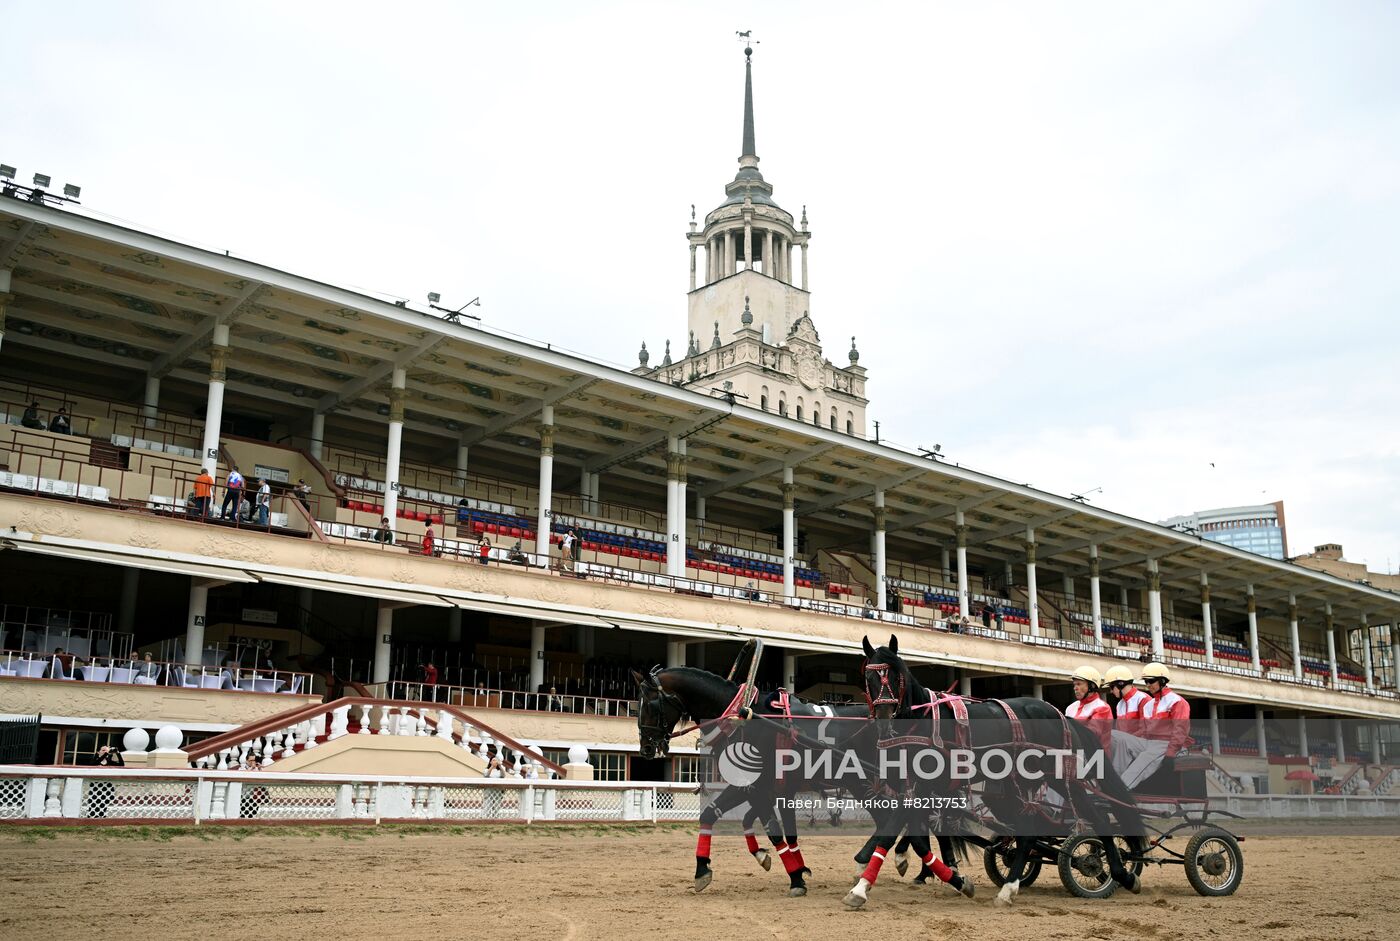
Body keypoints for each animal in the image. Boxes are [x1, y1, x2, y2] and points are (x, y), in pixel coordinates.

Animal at [845, 635, 1142, 907]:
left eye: (896, 674)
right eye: (869, 676)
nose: (884, 719)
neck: (922, 723)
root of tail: (1059, 714)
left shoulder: (923, 787)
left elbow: (892, 830)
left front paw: (862, 885)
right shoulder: (915, 788)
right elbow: (912, 834)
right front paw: (951, 878)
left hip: (1060, 775)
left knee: (1096, 817)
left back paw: (1117, 872)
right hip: (1011, 787)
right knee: (1028, 832)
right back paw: (1009, 887)